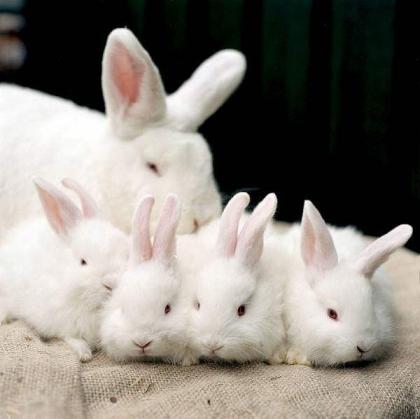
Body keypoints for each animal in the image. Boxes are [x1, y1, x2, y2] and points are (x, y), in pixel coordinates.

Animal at [0, 177, 130, 360]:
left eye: (126, 253)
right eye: (83, 262)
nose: (111, 282)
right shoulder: (61, 321)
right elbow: (71, 337)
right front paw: (84, 354)